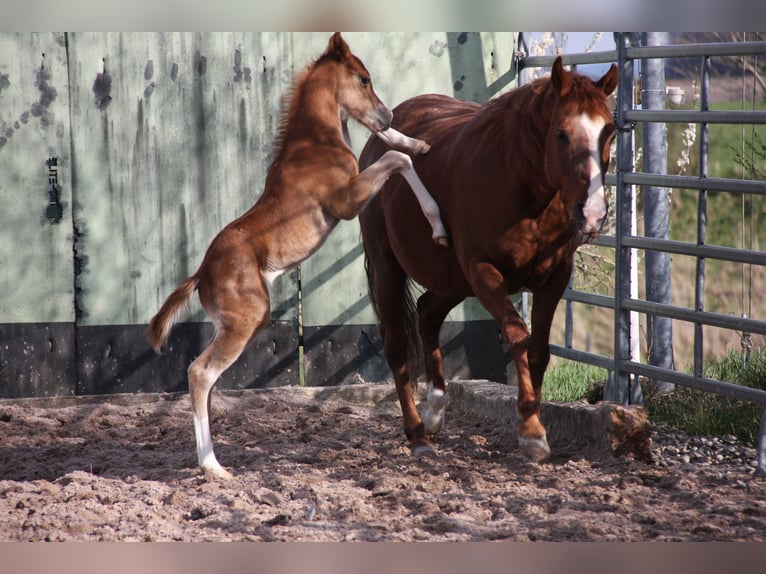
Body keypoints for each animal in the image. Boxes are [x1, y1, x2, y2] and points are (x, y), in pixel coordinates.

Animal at [149, 32, 448, 482]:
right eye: (364, 79)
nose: (386, 113)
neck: (317, 143)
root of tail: (200, 273)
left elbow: (398, 150)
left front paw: (419, 140)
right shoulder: (346, 201)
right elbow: (397, 161)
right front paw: (438, 224)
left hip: (236, 323)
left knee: (206, 379)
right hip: (248, 319)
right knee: (199, 373)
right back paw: (213, 466)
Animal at [360, 57, 616, 464]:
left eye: (610, 131)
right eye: (561, 133)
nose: (592, 213)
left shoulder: (555, 277)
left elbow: (539, 350)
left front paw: (535, 423)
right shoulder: (484, 272)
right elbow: (518, 337)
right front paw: (530, 431)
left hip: (452, 278)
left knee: (428, 312)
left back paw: (435, 411)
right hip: (391, 268)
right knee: (397, 343)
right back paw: (417, 435)